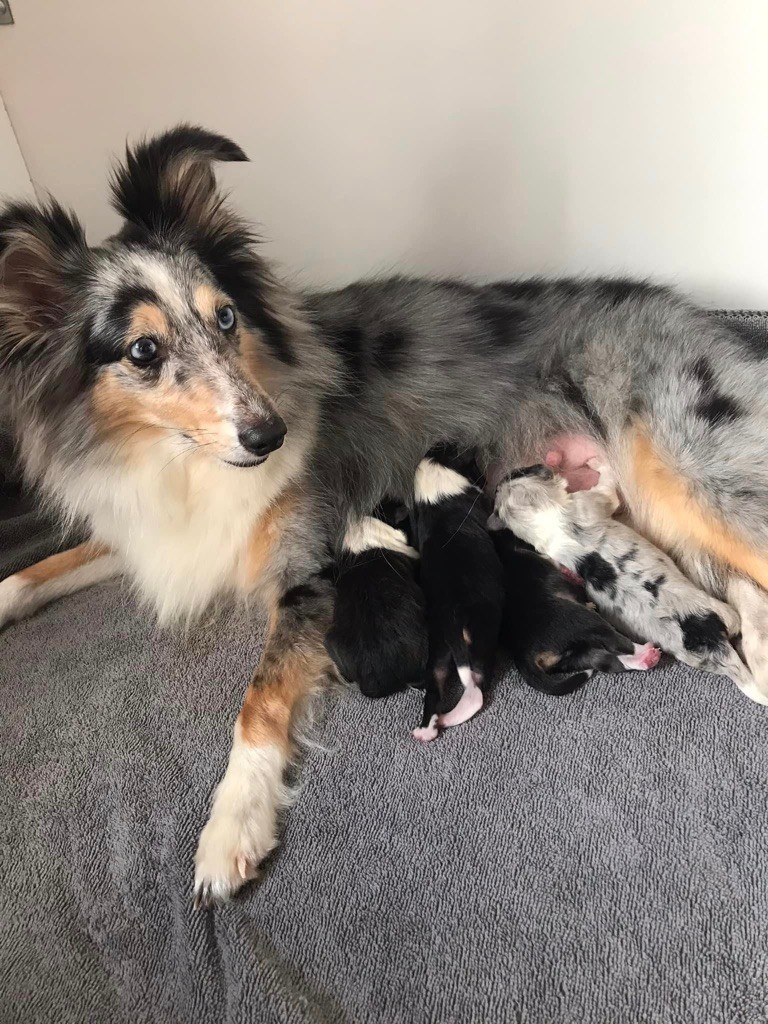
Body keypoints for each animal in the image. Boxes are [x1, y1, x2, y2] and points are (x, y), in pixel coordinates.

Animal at [411, 444, 507, 741]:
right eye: (475, 465)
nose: (485, 478)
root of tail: (450, 618)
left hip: (439, 651)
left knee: (435, 689)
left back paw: (429, 728)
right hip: (481, 637)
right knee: (476, 688)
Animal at [489, 503, 659, 696]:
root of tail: (524, 653)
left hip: (574, 656)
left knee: (607, 661)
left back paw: (644, 660)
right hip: (583, 621)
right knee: (619, 643)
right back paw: (645, 651)